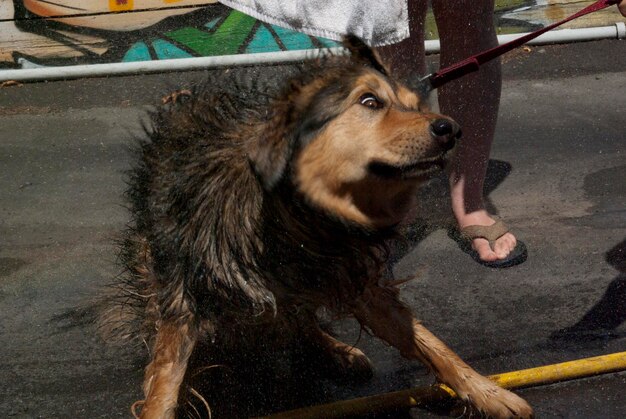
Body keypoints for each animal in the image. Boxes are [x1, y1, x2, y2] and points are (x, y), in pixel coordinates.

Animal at [103, 37, 532, 418]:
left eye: (415, 106)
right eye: (370, 102)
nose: (451, 129)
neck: (295, 220)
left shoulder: (351, 273)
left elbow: (430, 342)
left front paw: (488, 392)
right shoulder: (186, 290)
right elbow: (166, 381)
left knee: (298, 318)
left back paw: (335, 350)